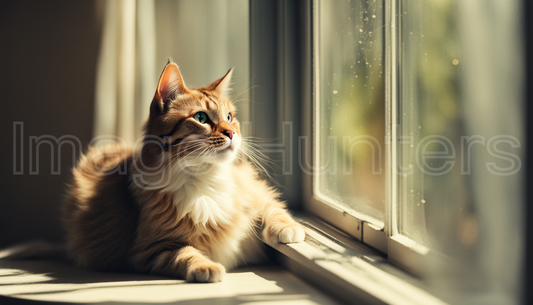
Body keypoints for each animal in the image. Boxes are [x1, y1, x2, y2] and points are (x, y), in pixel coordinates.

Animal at [63, 61, 304, 282]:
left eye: (229, 117)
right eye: (201, 118)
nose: (231, 133)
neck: (207, 179)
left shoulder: (253, 192)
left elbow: (273, 209)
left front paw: (289, 229)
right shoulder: (154, 250)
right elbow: (186, 254)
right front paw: (207, 267)